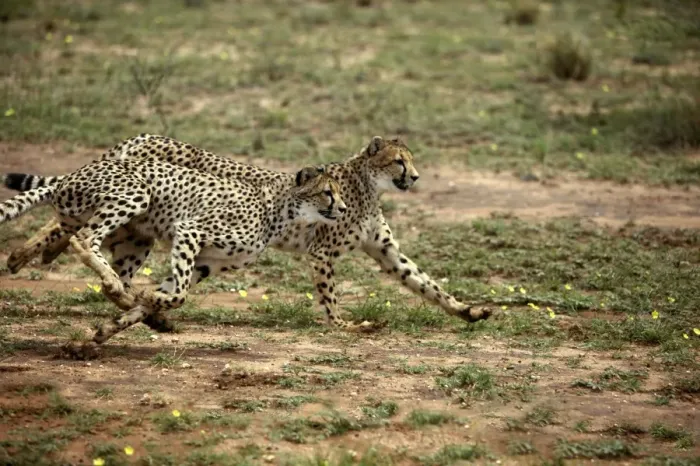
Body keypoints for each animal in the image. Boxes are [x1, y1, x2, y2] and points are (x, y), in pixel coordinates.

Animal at [0, 158, 347, 355]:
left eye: (339, 193)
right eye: (327, 193)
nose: (343, 209)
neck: (281, 211)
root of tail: (68, 175)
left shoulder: (206, 263)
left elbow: (163, 297)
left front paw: (102, 334)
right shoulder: (189, 230)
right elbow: (177, 295)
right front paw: (145, 299)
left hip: (129, 235)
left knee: (88, 249)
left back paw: (126, 297)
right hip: (135, 194)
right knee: (84, 241)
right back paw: (116, 286)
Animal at [2, 134, 491, 332]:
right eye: (399, 161)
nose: (416, 177)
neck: (364, 183)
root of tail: (138, 139)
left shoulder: (387, 251)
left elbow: (428, 285)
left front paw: (468, 311)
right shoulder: (322, 255)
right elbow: (331, 297)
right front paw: (342, 325)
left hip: (136, 234)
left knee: (74, 232)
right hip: (132, 206)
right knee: (70, 229)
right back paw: (32, 257)